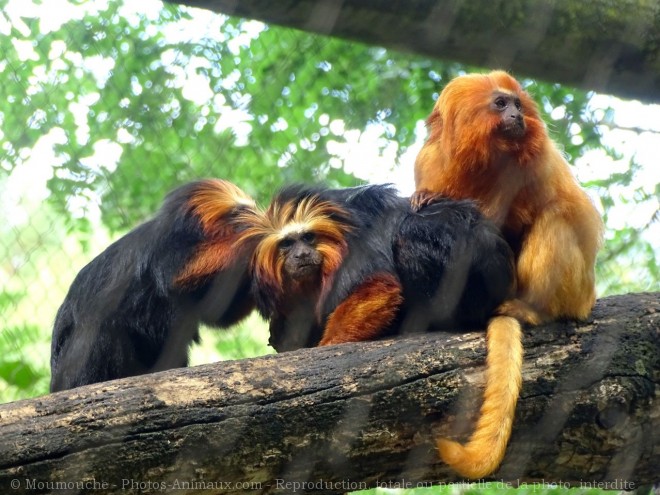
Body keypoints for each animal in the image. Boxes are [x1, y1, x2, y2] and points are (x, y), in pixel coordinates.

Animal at [50, 178, 260, 392]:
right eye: (239, 213)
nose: (251, 216)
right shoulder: (165, 247)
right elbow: (174, 275)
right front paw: (255, 236)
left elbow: (217, 313)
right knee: (101, 328)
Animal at [416, 71, 604, 478]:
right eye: (502, 104)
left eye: (518, 104)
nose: (517, 115)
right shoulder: (430, 163)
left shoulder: (535, 162)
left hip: (578, 290)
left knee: (555, 217)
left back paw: (533, 310)